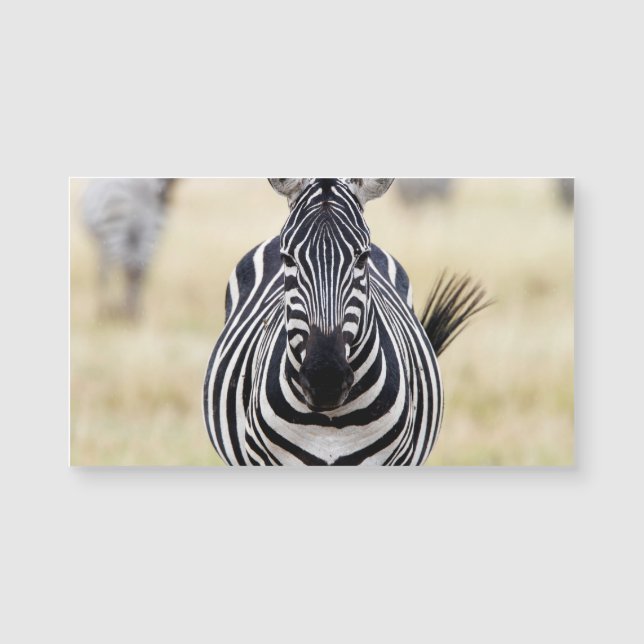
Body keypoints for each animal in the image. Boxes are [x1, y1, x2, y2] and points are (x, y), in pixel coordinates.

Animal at [82, 178, 175, 319]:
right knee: (137, 271)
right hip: (149, 237)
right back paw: (133, 313)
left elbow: (103, 274)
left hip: (116, 233)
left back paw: (115, 310)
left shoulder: (102, 244)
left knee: (126, 270)